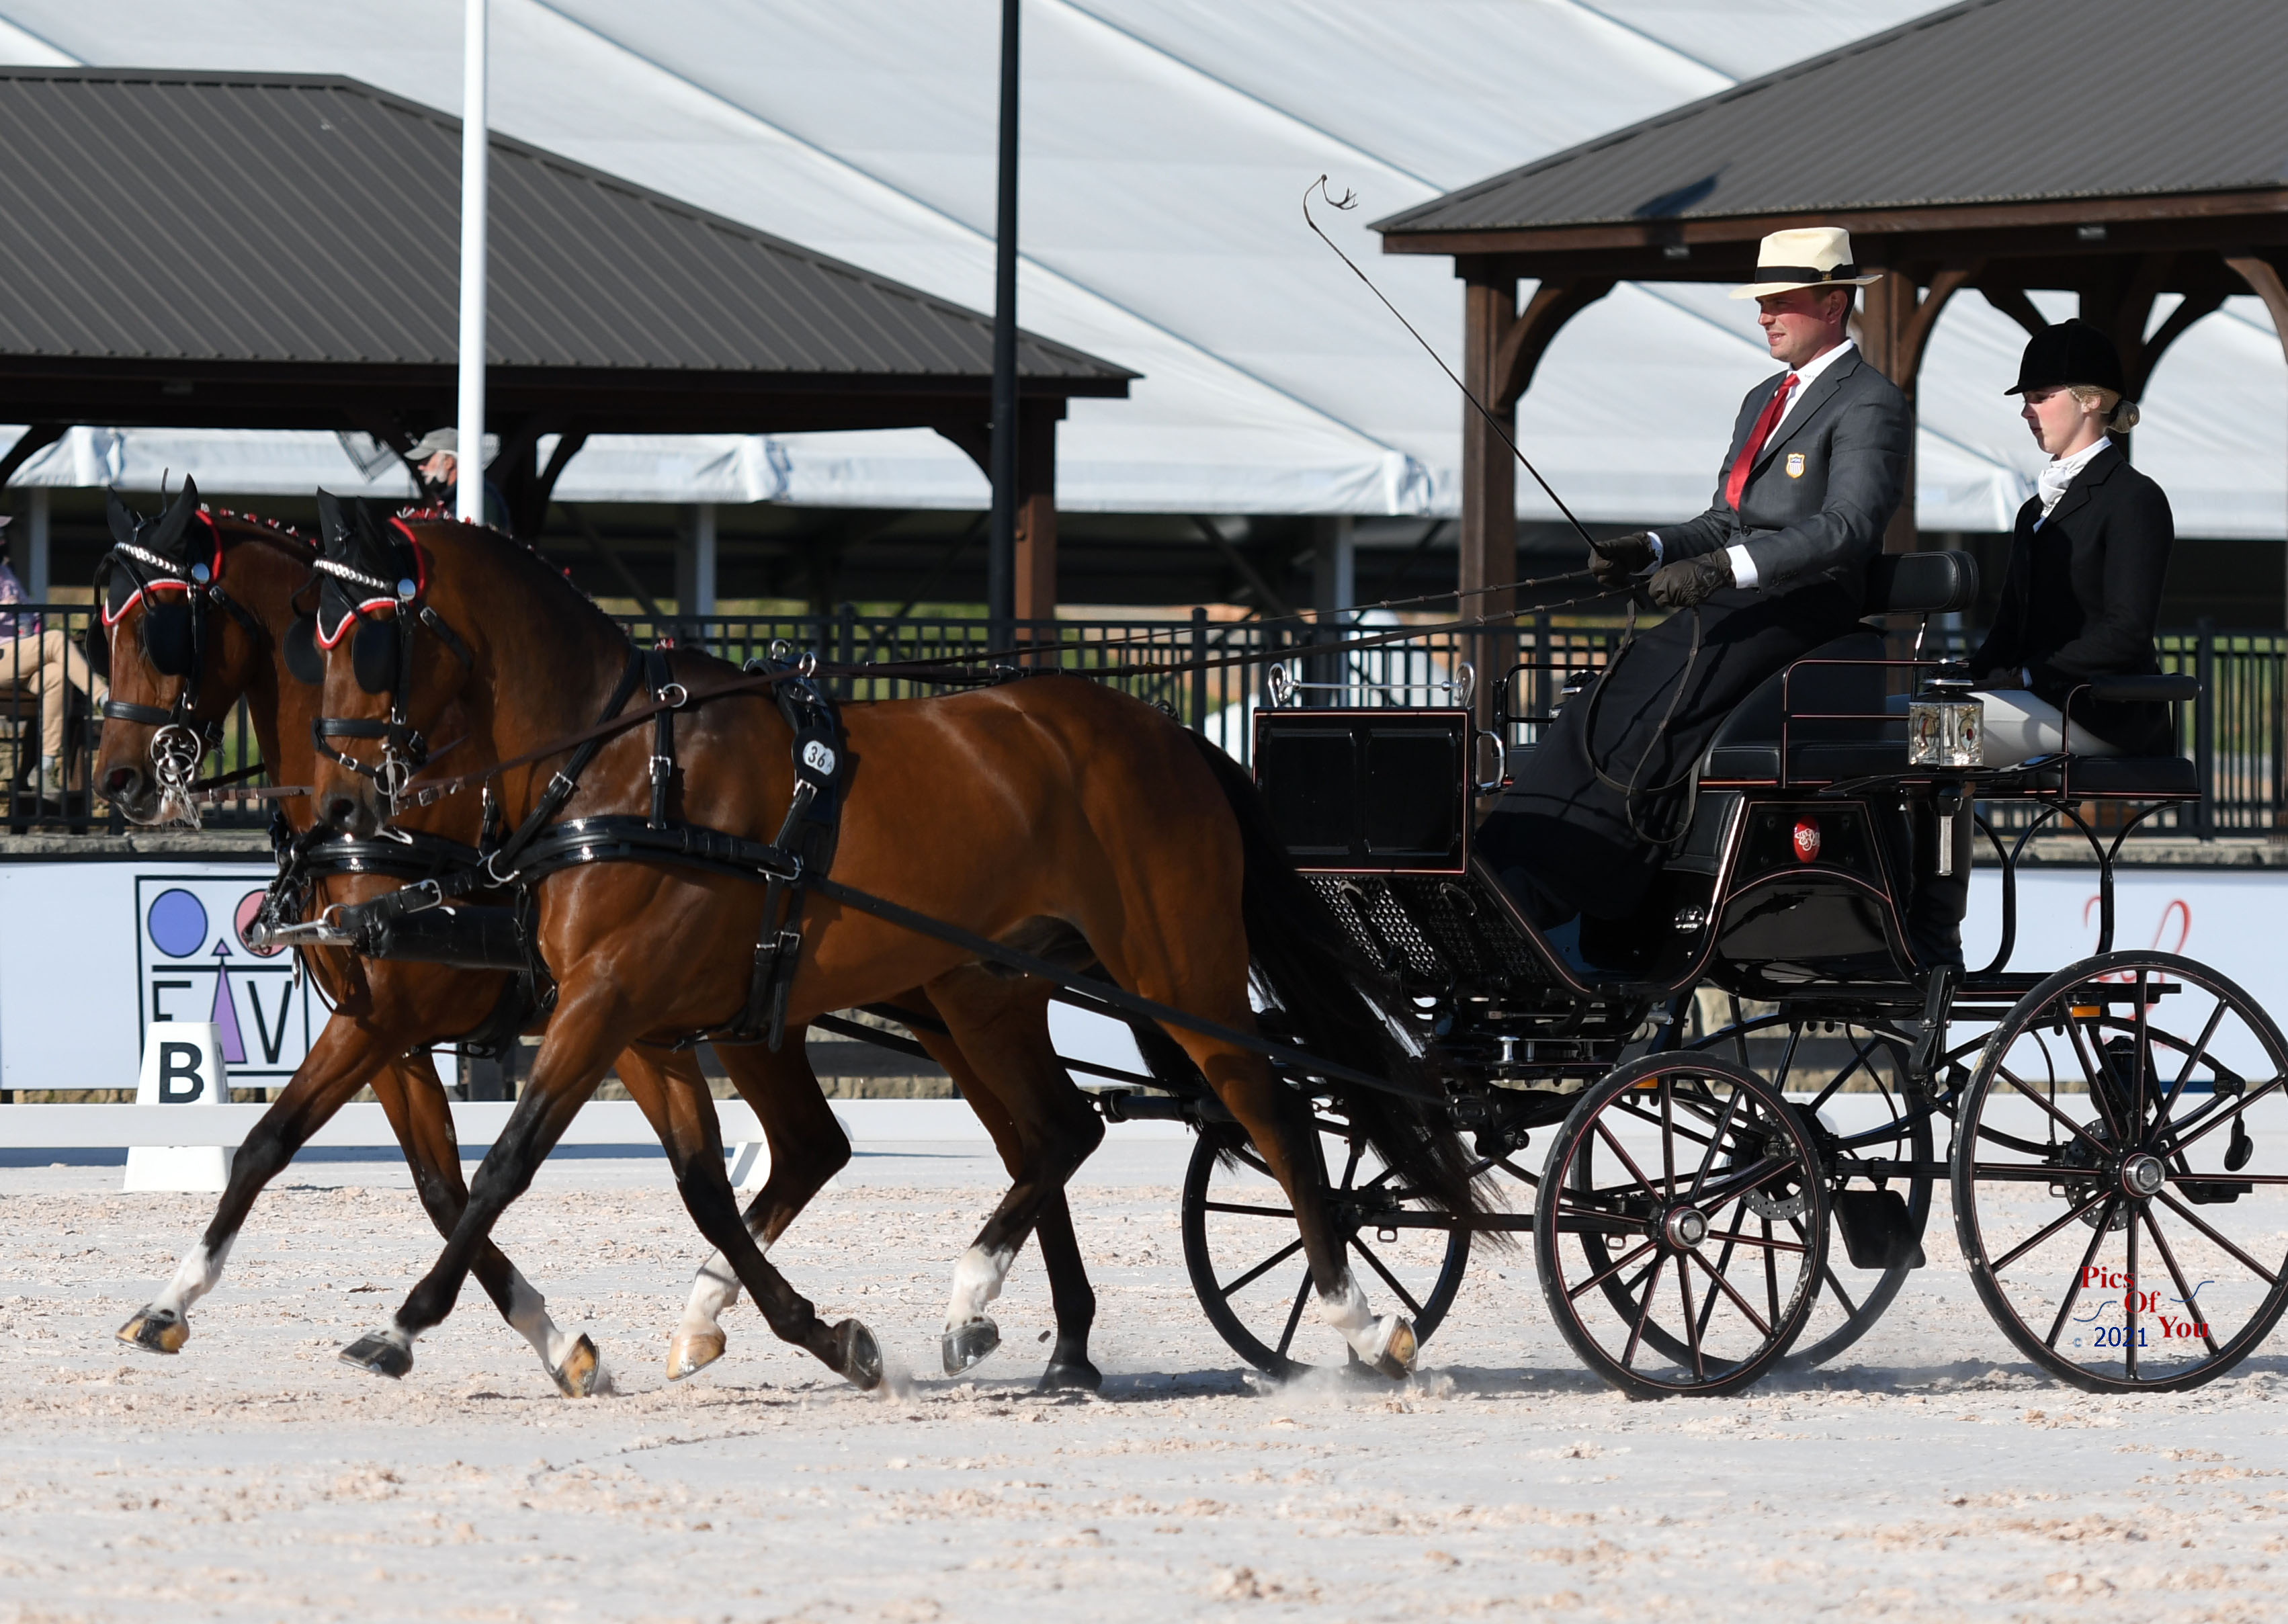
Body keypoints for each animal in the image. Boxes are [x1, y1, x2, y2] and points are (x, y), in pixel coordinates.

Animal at [308, 514, 1482, 1390]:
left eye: (366, 640)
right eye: (309, 641)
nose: (344, 811)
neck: (625, 765)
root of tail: (1165, 731)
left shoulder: (606, 1001)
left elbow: (506, 1164)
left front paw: (402, 1326)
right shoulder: (627, 1015)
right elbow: (675, 1181)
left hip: (1174, 968)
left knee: (1269, 1108)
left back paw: (1357, 1319)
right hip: (986, 990)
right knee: (1059, 1130)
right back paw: (990, 1314)